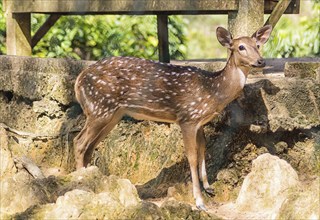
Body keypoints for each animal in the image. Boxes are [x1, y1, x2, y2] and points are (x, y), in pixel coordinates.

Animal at [73, 24, 272, 211]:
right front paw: (199, 201)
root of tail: (78, 80)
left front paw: (208, 187)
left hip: (113, 114)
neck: (213, 92)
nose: (261, 61)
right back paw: (81, 183)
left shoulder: (199, 122)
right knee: (79, 141)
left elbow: (203, 148)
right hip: (100, 107)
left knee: (90, 145)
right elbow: (191, 156)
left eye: (258, 45)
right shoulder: (187, 118)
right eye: (240, 47)